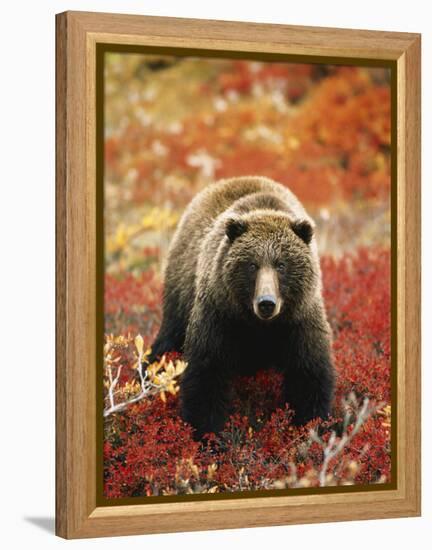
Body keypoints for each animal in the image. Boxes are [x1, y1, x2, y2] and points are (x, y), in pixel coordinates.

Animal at [150, 177, 336, 440]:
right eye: (252, 265)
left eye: (281, 264)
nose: (266, 302)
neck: (259, 326)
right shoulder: (220, 315)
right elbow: (206, 374)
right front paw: (208, 435)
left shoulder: (299, 321)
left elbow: (309, 375)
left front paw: (311, 427)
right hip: (180, 291)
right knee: (167, 340)